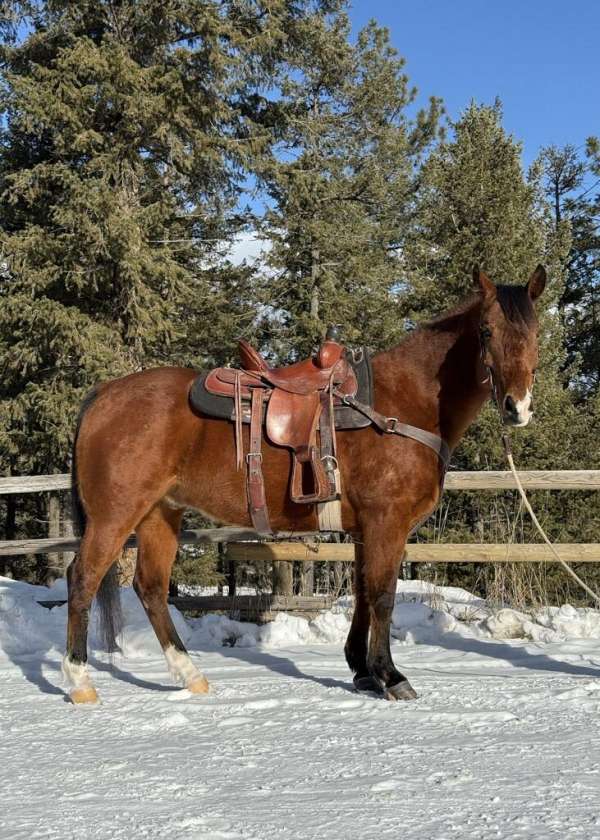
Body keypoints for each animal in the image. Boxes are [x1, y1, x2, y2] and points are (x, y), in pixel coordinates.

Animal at [63, 268, 548, 704]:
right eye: (486, 331)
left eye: (535, 332)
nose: (517, 407)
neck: (404, 403)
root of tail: (104, 394)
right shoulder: (387, 523)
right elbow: (382, 596)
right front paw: (390, 676)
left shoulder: (363, 531)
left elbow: (362, 594)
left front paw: (362, 671)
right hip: (115, 514)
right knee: (83, 577)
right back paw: (81, 682)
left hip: (160, 513)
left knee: (150, 587)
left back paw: (191, 676)